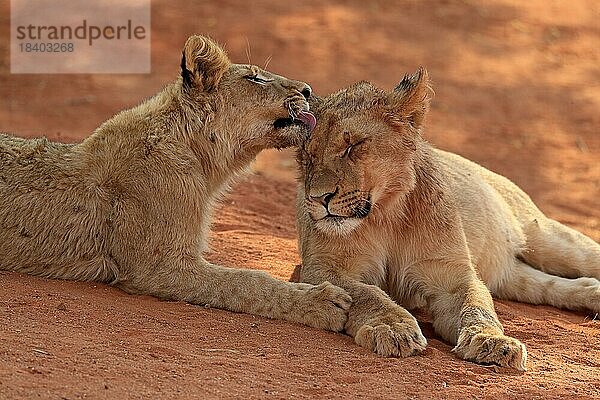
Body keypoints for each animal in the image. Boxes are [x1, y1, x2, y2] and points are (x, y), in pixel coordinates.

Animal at [0, 36, 352, 332]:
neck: (199, 154)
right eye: (255, 78)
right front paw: (321, 301)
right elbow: (245, 282)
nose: (308, 90)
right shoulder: (159, 267)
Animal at [296, 67, 600, 370]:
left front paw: (493, 342)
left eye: (354, 145)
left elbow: (476, 308)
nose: (319, 198)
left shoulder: (451, 274)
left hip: (550, 239)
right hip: (512, 279)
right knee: (552, 286)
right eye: (308, 155)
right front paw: (394, 327)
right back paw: (594, 293)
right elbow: (367, 294)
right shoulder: (322, 269)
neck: (385, 214)